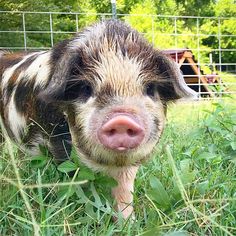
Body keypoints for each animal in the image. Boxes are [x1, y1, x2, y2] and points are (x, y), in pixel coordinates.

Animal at [0, 19, 195, 219]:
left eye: (150, 89)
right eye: (86, 88)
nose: (121, 119)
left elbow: (124, 189)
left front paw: (128, 220)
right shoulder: (55, 140)